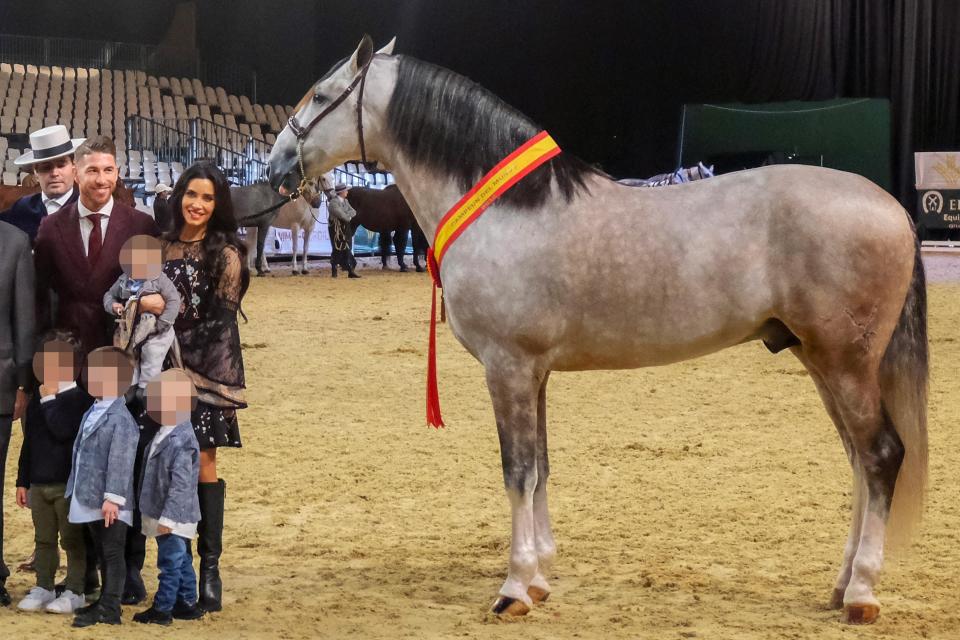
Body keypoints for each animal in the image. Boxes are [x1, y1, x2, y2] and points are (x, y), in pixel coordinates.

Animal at [266, 36, 928, 624]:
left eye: (321, 93)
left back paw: (862, 594)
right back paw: (841, 585)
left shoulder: (507, 367)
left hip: (845, 363)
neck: (511, 211)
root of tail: (893, 208)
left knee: (880, 456)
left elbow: (516, 471)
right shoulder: (533, 373)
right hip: (821, 362)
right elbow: (540, 467)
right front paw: (539, 579)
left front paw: (513, 589)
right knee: (859, 462)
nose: (275, 164)